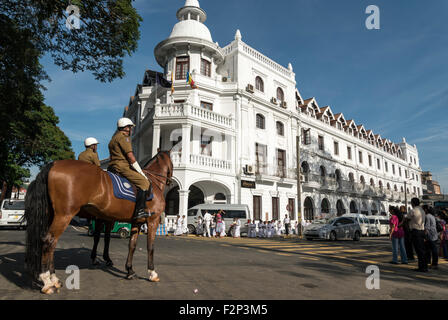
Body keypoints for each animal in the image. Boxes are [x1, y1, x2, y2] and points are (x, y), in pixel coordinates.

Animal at [24, 151, 173, 294]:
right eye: (172, 160)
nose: (170, 181)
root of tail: (53, 164)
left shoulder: (135, 223)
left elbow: (131, 246)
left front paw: (129, 270)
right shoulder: (152, 221)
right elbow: (150, 247)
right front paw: (152, 273)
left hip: (51, 215)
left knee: (49, 242)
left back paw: (53, 278)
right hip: (64, 215)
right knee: (49, 241)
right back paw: (47, 281)